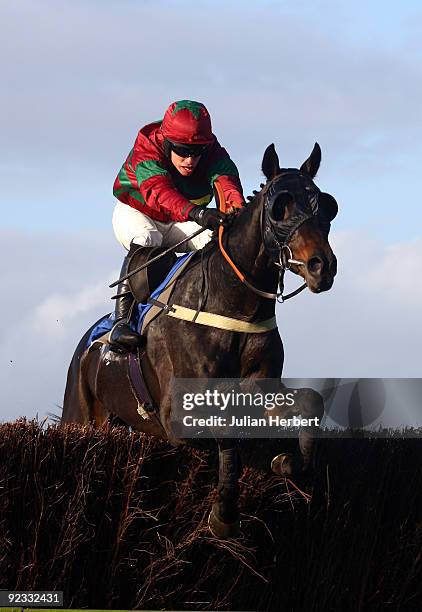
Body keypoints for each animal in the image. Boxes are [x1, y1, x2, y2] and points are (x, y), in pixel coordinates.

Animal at [62, 143, 338, 536]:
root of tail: (89, 340)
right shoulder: (178, 415)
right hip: (80, 414)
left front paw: (287, 461)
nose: (321, 266)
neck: (233, 305)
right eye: (280, 207)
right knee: (143, 243)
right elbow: (225, 433)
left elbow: (310, 402)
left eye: (325, 206)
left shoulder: (260, 385)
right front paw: (224, 514)